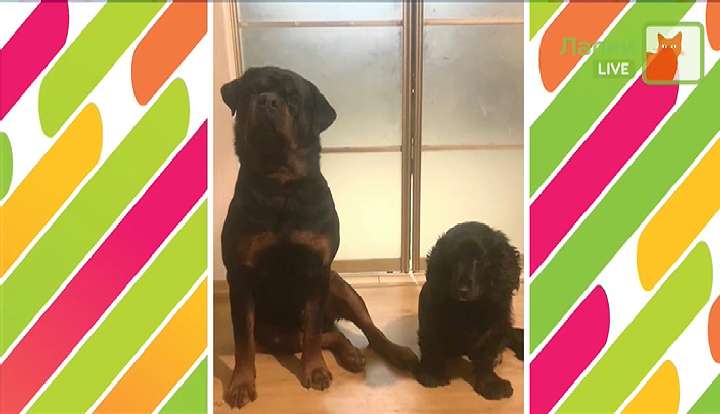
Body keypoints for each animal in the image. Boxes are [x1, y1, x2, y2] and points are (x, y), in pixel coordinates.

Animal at [220, 66, 418, 409]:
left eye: (293, 98)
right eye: (251, 90)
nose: (267, 101)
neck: (281, 186)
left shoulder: (317, 271)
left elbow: (312, 331)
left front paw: (314, 370)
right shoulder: (241, 276)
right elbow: (243, 340)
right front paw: (241, 383)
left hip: (341, 288)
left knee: (366, 330)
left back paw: (397, 353)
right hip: (274, 333)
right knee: (327, 334)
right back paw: (350, 353)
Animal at [416, 221, 523, 399]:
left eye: (480, 260)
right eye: (453, 259)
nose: (463, 290)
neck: (468, 307)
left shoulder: (494, 327)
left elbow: (486, 356)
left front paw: (491, 383)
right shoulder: (430, 319)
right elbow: (432, 345)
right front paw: (432, 373)